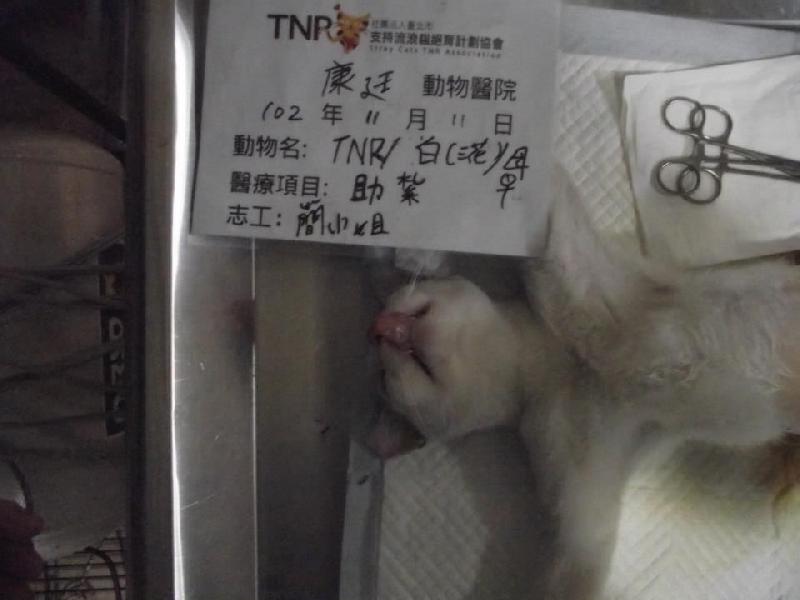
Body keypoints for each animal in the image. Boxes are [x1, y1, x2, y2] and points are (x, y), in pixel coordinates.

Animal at [369, 173, 800, 600]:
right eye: (390, 371)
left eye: (418, 360)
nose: (383, 326)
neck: (562, 362)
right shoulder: (581, 491)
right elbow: (583, 557)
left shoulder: (577, 267)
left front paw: (417, 246)